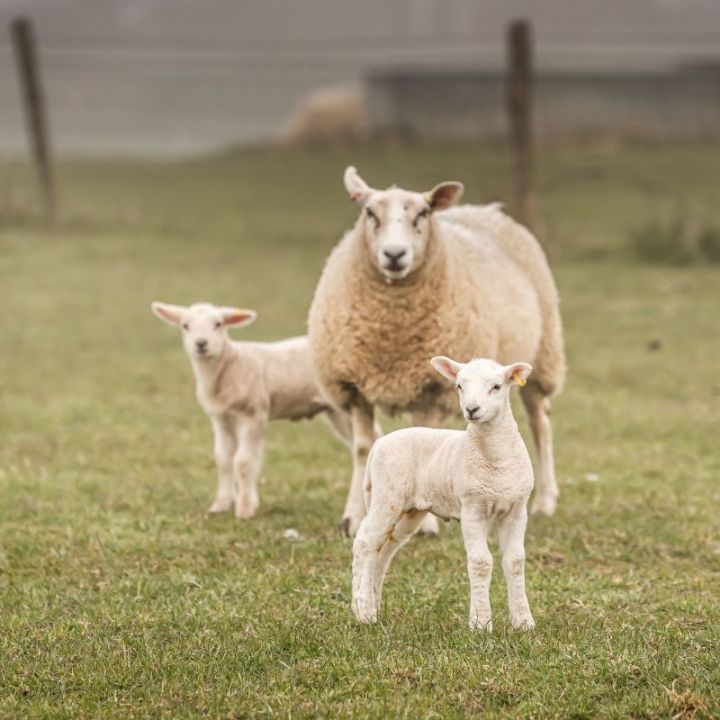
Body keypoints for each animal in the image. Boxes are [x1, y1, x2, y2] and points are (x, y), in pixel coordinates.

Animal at [152, 302, 352, 516]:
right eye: (185, 326)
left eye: (218, 324)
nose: (201, 343)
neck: (229, 366)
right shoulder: (221, 420)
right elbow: (223, 460)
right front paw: (220, 505)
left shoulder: (253, 413)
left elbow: (244, 462)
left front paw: (246, 508)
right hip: (336, 412)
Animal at [306, 165, 564, 536]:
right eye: (369, 213)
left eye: (423, 214)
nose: (394, 255)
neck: (391, 328)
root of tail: (486, 209)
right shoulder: (351, 385)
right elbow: (361, 448)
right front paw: (353, 516)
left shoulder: (433, 389)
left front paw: (426, 524)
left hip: (543, 356)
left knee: (540, 424)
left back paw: (545, 500)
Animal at [352, 354, 536, 632]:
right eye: (459, 386)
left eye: (496, 386)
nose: (472, 409)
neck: (495, 460)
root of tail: (379, 443)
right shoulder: (472, 509)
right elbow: (481, 562)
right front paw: (480, 623)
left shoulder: (516, 509)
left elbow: (515, 561)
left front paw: (523, 622)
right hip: (386, 497)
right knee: (364, 543)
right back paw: (363, 611)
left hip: (410, 511)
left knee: (383, 551)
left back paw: (369, 607)